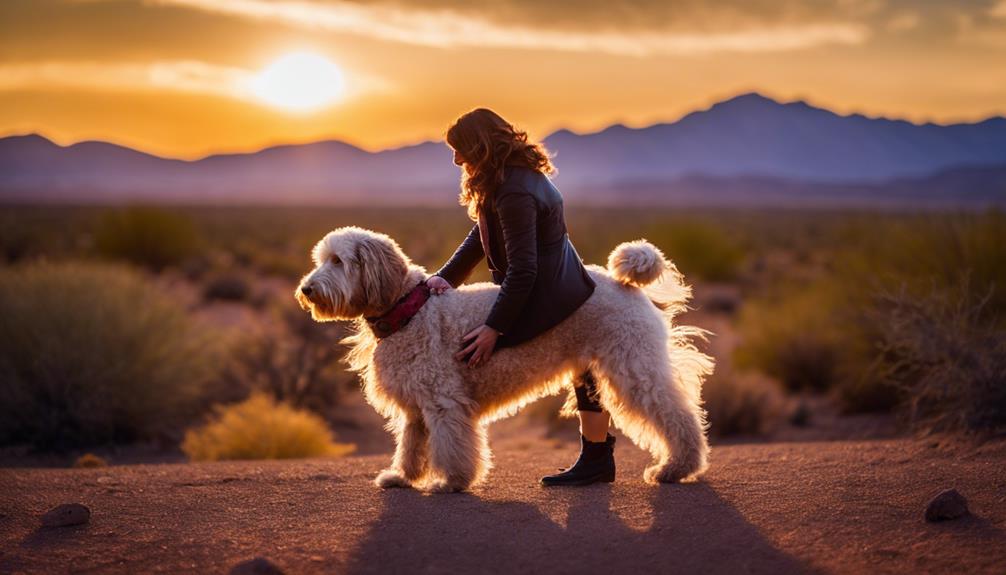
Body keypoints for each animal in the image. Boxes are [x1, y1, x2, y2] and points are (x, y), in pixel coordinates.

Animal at [293, 227, 712, 492]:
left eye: (338, 261)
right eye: (322, 259)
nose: (306, 289)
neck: (408, 311)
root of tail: (624, 284)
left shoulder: (445, 402)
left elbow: (452, 445)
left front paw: (452, 482)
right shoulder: (416, 406)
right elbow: (411, 446)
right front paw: (403, 478)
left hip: (635, 368)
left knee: (678, 415)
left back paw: (677, 468)